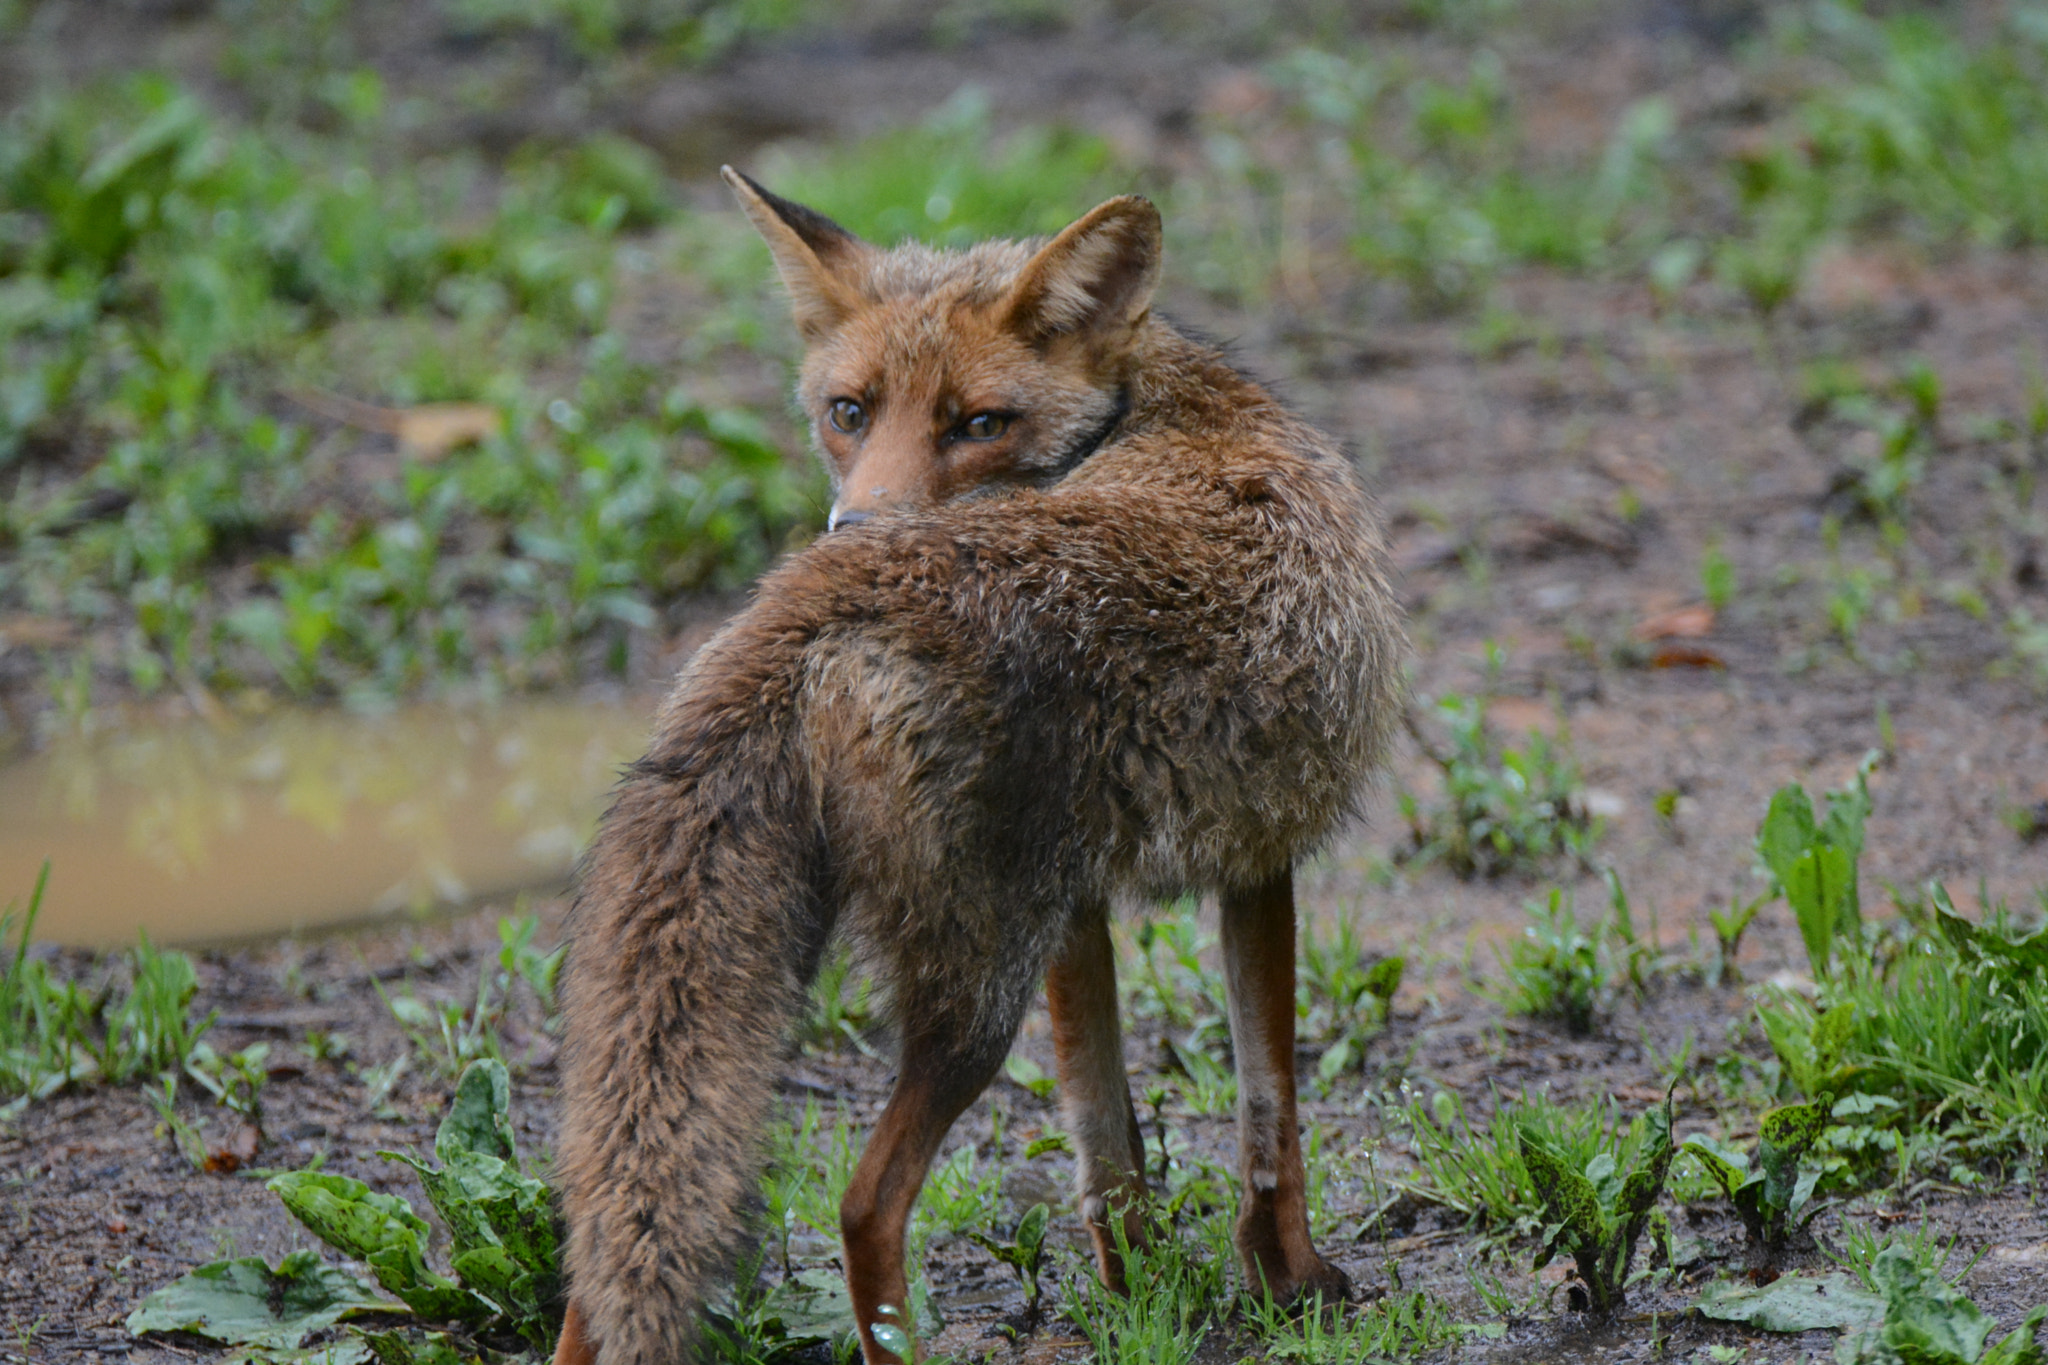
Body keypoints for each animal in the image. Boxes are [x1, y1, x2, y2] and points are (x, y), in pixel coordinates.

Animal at [548, 169, 1406, 1365]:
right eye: (850, 412)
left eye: (980, 424)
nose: (853, 524)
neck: (1159, 406)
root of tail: (816, 607)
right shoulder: (1259, 856)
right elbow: (1268, 1108)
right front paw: (1291, 1284)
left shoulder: (1075, 901)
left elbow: (1105, 1134)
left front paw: (1142, 1294)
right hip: (975, 994)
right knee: (862, 1207)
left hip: (874, 971)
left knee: (602, 1247)